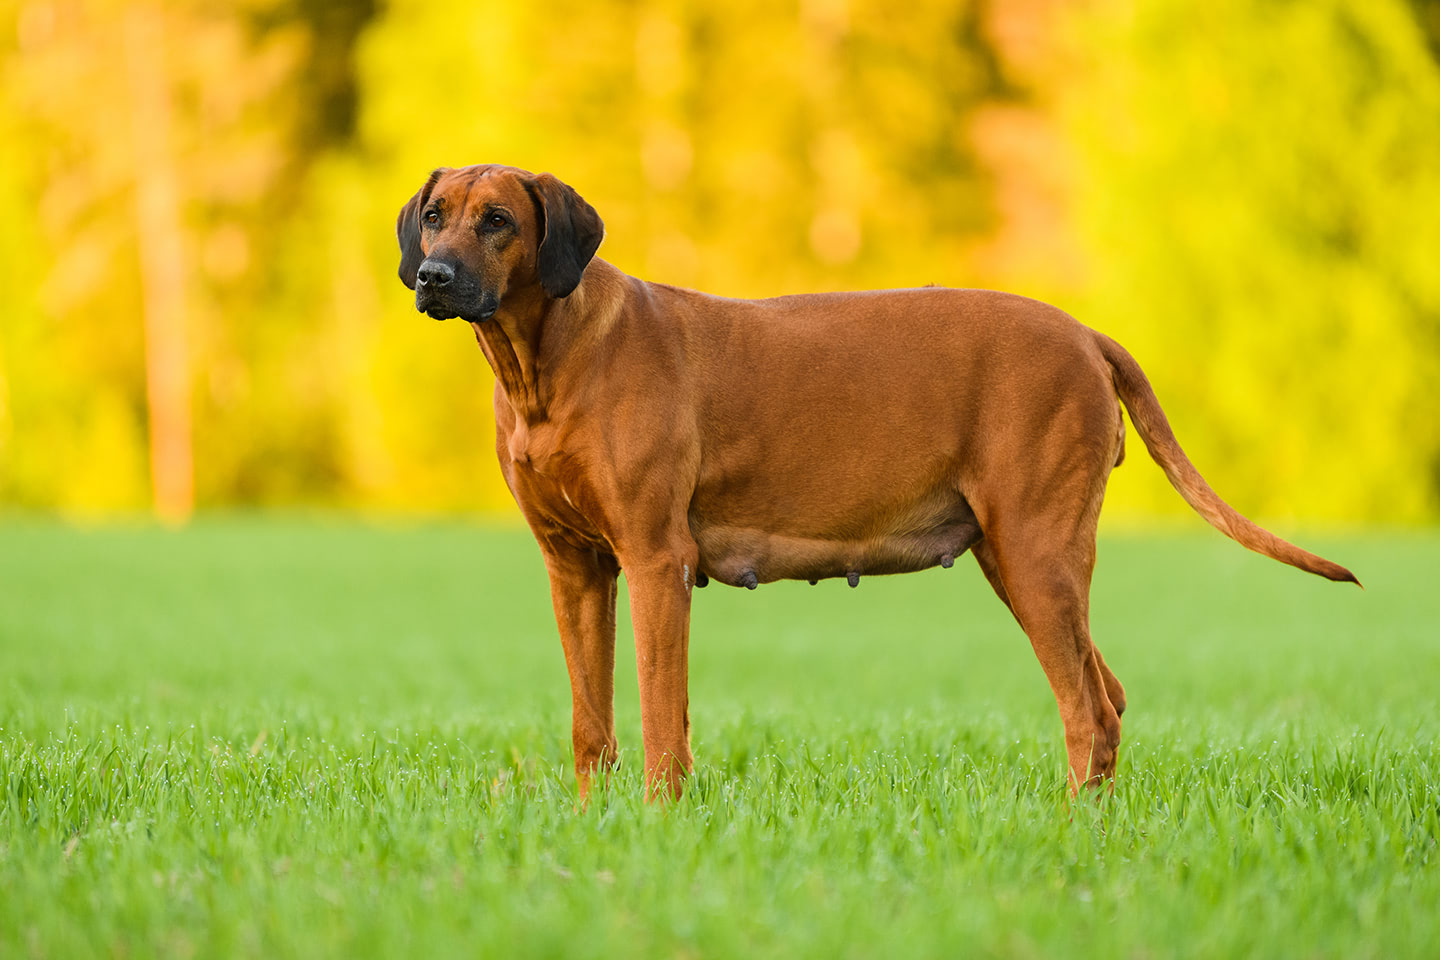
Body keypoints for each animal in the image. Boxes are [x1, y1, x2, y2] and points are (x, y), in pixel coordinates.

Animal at [394, 163, 1359, 794]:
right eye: (435, 215)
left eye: (498, 221)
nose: (432, 276)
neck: (546, 366)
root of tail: (1085, 333)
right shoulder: (577, 570)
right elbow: (589, 718)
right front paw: (596, 821)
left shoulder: (656, 560)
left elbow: (662, 715)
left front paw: (661, 818)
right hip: (1018, 559)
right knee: (1108, 697)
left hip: (1037, 553)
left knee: (1090, 710)